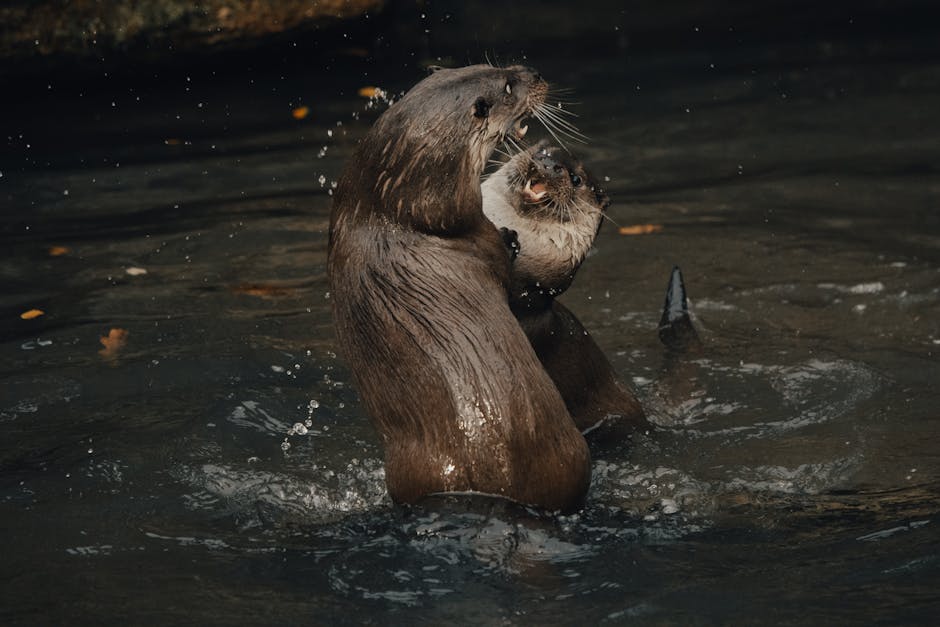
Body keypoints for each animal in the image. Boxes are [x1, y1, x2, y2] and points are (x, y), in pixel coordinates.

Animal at [328, 65, 590, 512]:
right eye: (508, 88)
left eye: (496, 67)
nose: (533, 73)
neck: (395, 211)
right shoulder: (480, 236)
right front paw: (512, 240)